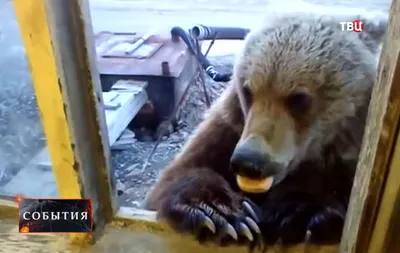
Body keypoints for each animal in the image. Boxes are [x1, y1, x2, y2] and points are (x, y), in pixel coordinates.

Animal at [143, 11, 388, 249]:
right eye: (248, 91)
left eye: (298, 98)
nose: (249, 161)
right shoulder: (230, 125)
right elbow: (180, 173)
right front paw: (221, 213)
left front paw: (293, 214)